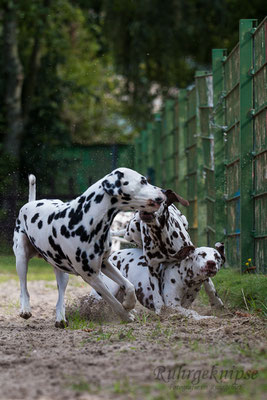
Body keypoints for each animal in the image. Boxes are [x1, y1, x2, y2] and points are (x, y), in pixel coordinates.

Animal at [14, 167, 166, 326]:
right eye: (143, 181)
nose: (164, 191)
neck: (85, 218)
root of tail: (31, 203)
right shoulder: (91, 277)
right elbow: (112, 300)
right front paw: (125, 315)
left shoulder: (104, 264)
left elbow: (129, 285)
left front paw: (128, 304)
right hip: (21, 260)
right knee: (24, 288)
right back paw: (25, 309)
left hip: (62, 274)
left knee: (60, 298)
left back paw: (60, 318)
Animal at [91, 242, 225, 320]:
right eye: (201, 254)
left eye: (217, 257)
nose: (211, 263)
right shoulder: (172, 304)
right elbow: (193, 313)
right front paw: (206, 318)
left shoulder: (182, 305)